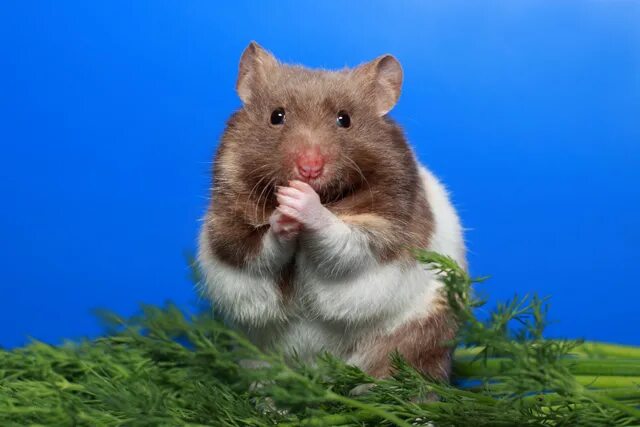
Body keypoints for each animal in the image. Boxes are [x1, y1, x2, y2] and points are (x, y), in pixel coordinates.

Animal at [198, 42, 466, 380]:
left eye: (344, 119)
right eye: (276, 116)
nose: (309, 168)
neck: (327, 196)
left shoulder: (382, 230)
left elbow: (342, 241)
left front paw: (299, 200)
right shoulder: (229, 228)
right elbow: (258, 250)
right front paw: (283, 211)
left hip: (420, 333)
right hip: (255, 352)